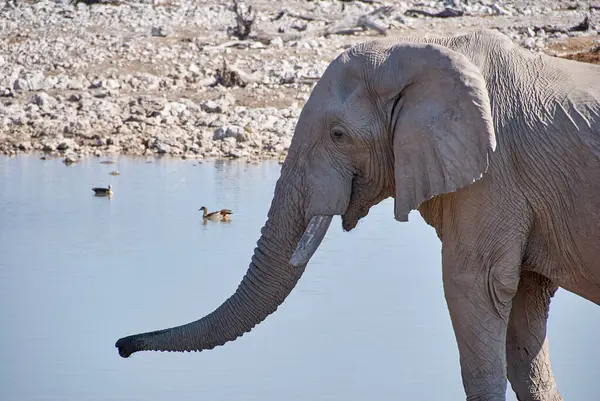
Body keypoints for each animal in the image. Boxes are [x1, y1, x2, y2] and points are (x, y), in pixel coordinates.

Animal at [116, 28, 600, 400]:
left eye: (338, 135)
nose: (121, 346)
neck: (419, 47)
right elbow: (525, 324)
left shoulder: (493, 177)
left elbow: (474, 287)